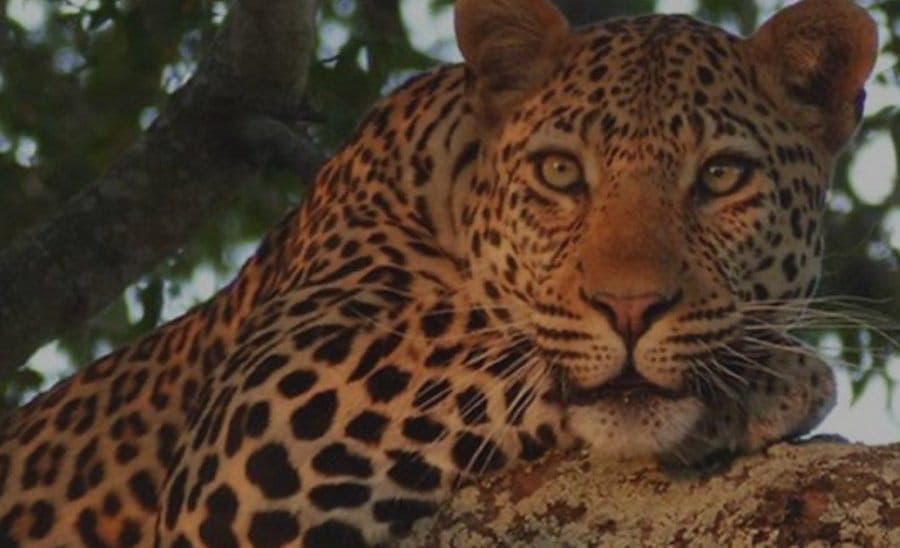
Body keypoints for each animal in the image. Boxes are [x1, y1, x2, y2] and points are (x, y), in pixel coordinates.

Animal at [0, 0, 878, 546]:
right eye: (561, 173)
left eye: (723, 177)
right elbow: (484, 346)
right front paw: (774, 376)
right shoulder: (266, 404)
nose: (629, 308)